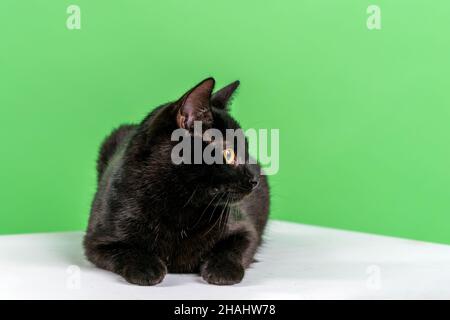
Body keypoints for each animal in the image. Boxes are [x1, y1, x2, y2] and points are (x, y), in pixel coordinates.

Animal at [83, 78, 268, 284]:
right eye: (229, 154)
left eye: (247, 152)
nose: (255, 179)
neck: (179, 204)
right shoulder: (97, 240)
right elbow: (125, 250)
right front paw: (146, 267)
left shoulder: (245, 229)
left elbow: (232, 248)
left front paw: (222, 270)